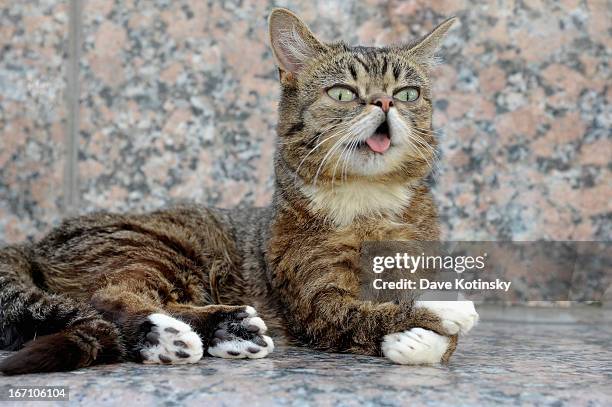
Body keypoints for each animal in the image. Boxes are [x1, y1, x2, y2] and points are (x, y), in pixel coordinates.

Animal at [0, 7, 478, 376]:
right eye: (343, 93)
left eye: (408, 93)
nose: (384, 102)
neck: (370, 207)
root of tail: (35, 244)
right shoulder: (318, 304)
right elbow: (367, 313)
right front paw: (441, 315)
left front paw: (422, 342)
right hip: (159, 248)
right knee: (109, 298)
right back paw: (180, 333)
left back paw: (230, 333)